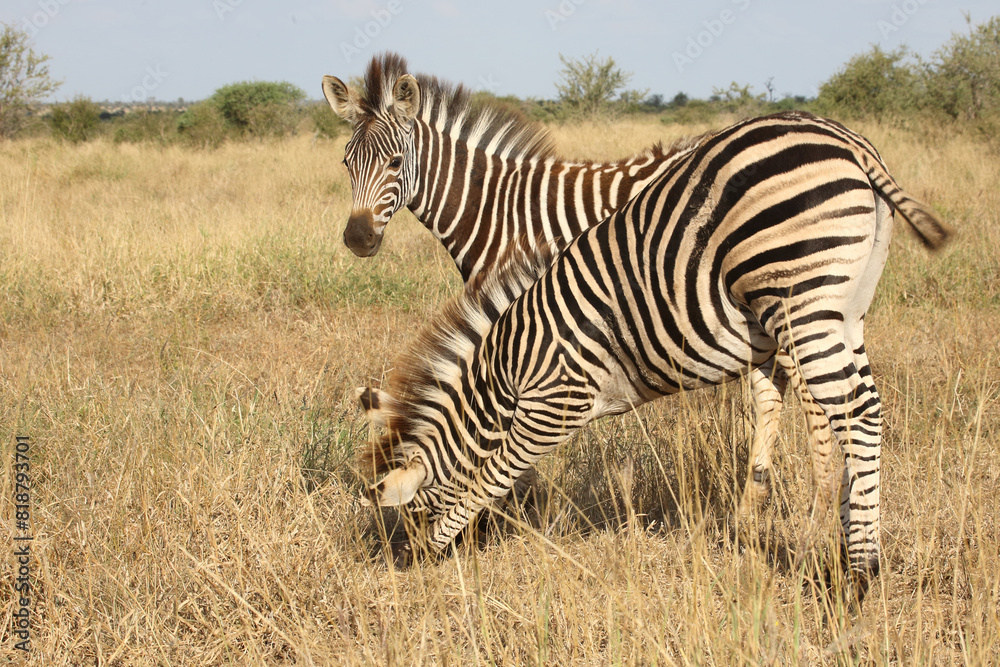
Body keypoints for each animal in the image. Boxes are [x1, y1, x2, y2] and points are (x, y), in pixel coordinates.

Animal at [355, 110, 952, 603]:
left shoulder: (554, 406)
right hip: (845, 310)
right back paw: (851, 554)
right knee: (864, 411)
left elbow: (492, 476)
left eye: (410, 515)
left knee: (854, 415)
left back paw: (858, 575)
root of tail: (848, 139)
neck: (510, 371)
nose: (399, 564)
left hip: (799, 298)